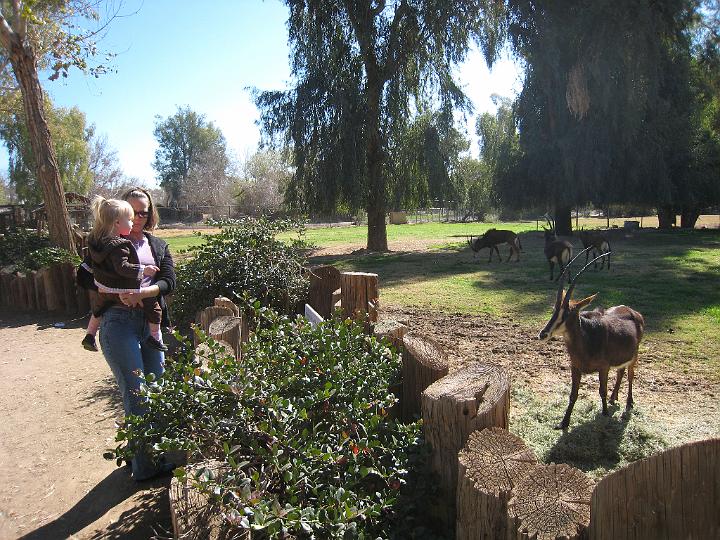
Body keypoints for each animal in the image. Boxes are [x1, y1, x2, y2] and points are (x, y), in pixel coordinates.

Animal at [536, 249, 644, 430]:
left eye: (567, 314)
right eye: (554, 310)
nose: (543, 334)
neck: (587, 340)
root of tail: (634, 312)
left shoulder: (603, 368)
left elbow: (601, 391)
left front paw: (605, 414)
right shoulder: (575, 367)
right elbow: (573, 394)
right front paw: (563, 423)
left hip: (634, 356)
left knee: (630, 375)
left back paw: (629, 402)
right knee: (621, 372)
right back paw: (614, 397)